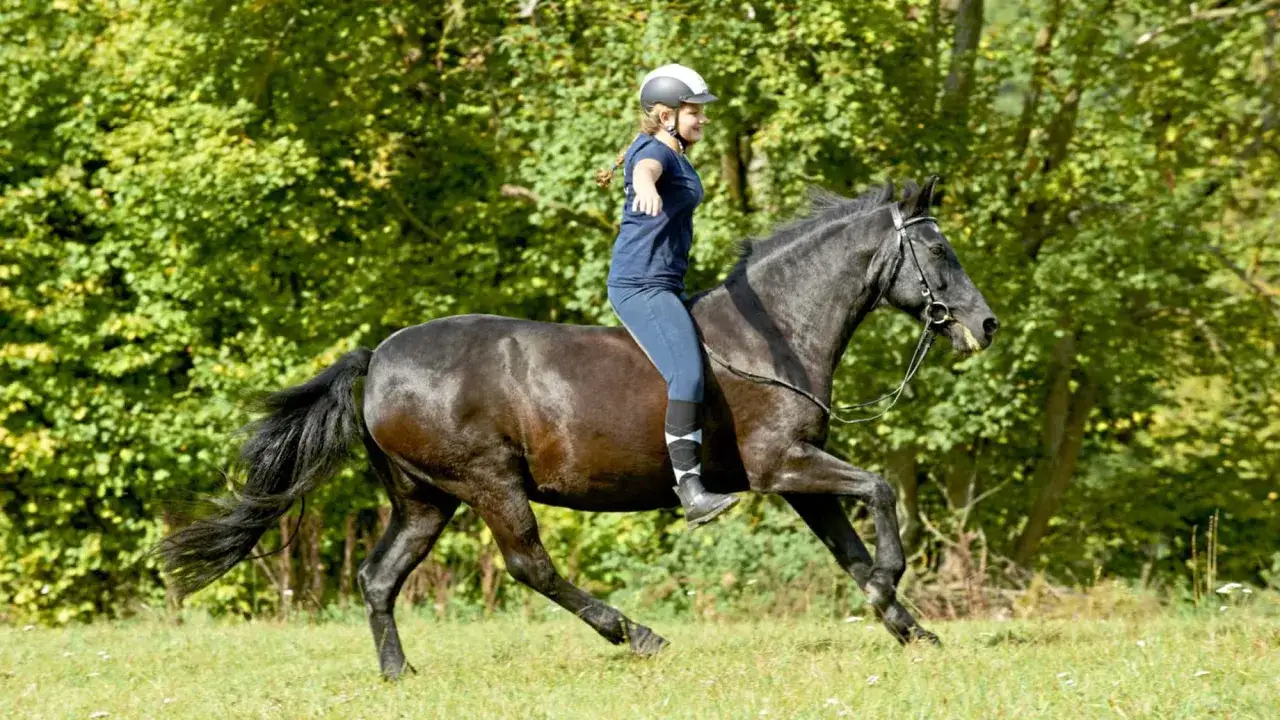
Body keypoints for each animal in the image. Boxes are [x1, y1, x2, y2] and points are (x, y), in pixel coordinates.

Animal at [159, 177, 999, 679]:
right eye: (939, 250)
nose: (985, 325)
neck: (774, 334)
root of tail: (380, 358)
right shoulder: (783, 464)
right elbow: (880, 492)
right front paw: (895, 582)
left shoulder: (797, 475)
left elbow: (848, 550)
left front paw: (908, 627)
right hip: (488, 482)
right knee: (530, 566)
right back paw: (635, 634)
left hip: (426, 499)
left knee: (379, 577)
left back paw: (399, 674)